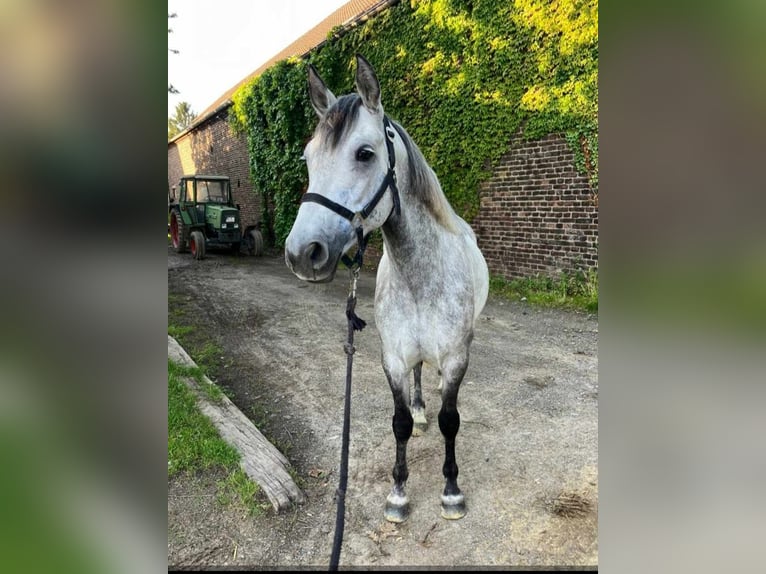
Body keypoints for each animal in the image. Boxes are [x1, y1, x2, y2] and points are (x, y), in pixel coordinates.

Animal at [284, 55, 488, 528]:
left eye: (365, 153)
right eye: (308, 157)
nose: (303, 253)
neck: (420, 277)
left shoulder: (457, 357)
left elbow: (451, 421)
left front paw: (451, 491)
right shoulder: (392, 357)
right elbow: (399, 423)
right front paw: (398, 493)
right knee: (418, 379)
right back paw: (420, 407)